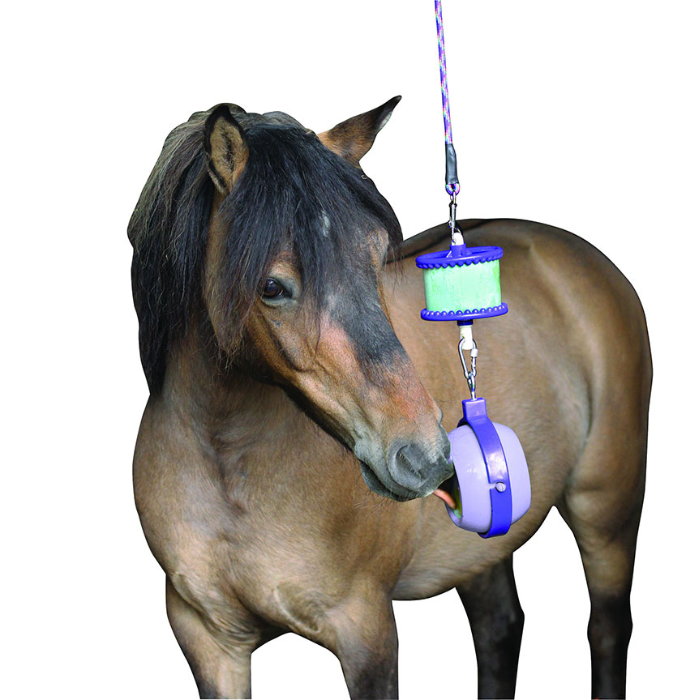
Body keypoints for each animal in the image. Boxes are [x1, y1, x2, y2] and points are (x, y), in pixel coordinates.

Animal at [128, 98, 651, 700]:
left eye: (378, 257)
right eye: (272, 288)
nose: (425, 456)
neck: (228, 470)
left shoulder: (366, 631)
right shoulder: (210, 641)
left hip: (608, 507)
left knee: (607, 628)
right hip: (480, 544)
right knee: (500, 627)